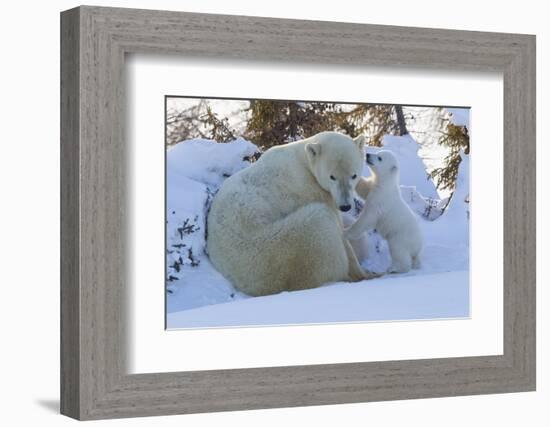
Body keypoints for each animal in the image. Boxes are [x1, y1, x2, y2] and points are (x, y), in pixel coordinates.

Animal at [208, 131, 380, 298]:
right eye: (332, 176)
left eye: (353, 175)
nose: (345, 206)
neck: (304, 161)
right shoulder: (310, 189)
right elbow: (339, 230)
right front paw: (365, 273)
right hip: (281, 245)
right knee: (321, 226)